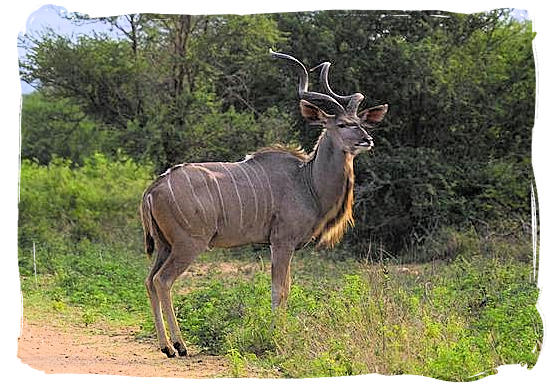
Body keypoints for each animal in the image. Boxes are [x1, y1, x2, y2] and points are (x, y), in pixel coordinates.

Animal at [139, 49, 388, 356]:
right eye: (342, 124)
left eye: (361, 123)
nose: (367, 139)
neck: (306, 181)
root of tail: (153, 189)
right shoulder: (282, 242)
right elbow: (280, 289)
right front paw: (276, 338)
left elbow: (285, 288)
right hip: (188, 244)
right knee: (163, 280)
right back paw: (179, 345)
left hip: (165, 245)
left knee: (149, 280)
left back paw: (166, 346)